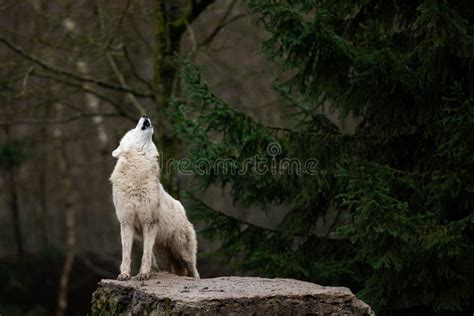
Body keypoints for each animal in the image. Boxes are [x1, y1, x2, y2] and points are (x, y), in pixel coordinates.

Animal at [110, 116, 199, 282]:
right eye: (131, 131)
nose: (145, 115)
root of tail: (182, 209)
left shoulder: (149, 222)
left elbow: (145, 255)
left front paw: (144, 274)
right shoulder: (126, 223)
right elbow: (126, 254)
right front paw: (124, 275)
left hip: (183, 253)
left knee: (195, 272)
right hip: (163, 258)